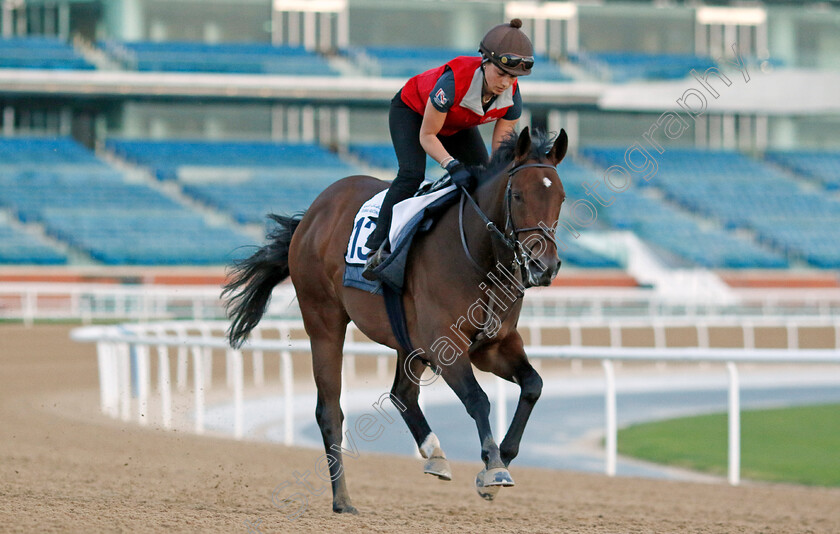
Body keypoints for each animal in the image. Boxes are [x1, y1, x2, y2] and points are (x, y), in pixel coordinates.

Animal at [223, 127, 568, 516]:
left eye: (561, 198)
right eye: (519, 195)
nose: (545, 266)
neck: (480, 256)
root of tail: (313, 213)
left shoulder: (493, 345)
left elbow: (533, 385)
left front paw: (499, 463)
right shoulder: (446, 343)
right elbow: (477, 399)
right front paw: (493, 467)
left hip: (407, 340)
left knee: (401, 393)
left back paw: (434, 454)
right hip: (323, 321)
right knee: (330, 411)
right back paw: (343, 500)